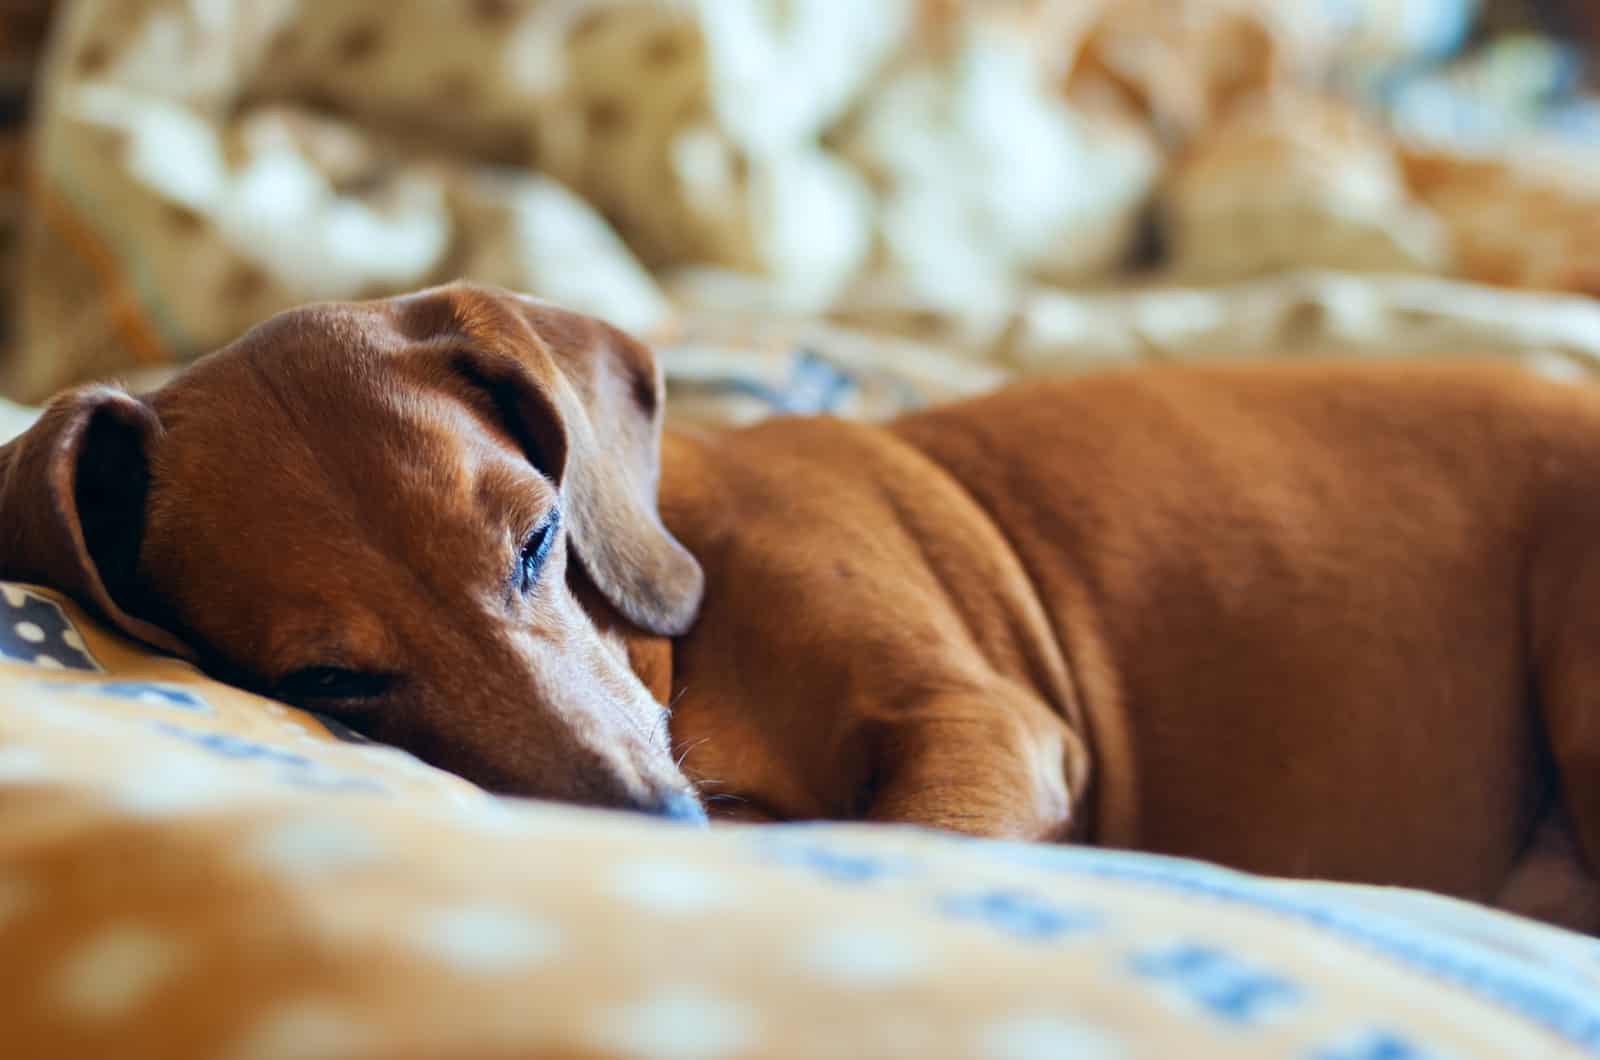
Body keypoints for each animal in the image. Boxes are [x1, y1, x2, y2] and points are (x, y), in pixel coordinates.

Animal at [3, 286, 1600, 935]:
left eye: (536, 542)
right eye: (331, 681)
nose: (657, 829)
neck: (693, 653)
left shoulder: (986, 726)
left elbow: (903, 833)